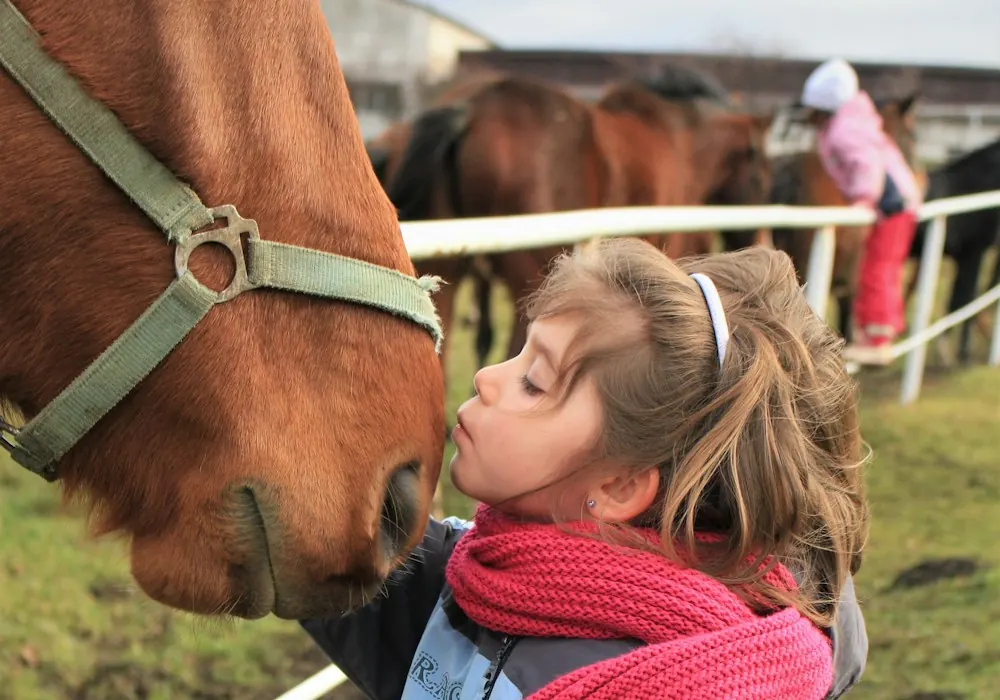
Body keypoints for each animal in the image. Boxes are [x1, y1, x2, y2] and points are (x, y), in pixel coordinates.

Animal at [374, 66, 773, 376]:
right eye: (761, 176)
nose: (761, 243)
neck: (681, 140)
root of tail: (470, 108)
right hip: (530, 279)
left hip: (451, 273)